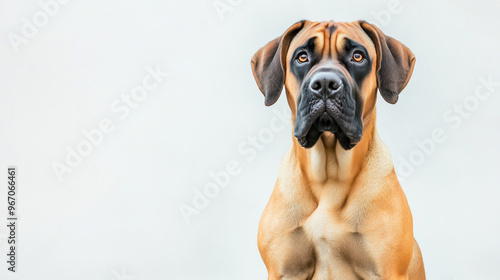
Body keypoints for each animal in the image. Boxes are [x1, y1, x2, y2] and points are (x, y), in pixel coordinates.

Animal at [250, 20, 426, 280]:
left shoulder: (387, 271)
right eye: (302, 57)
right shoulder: (284, 271)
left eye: (358, 56)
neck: (329, 175)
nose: (325, 84)